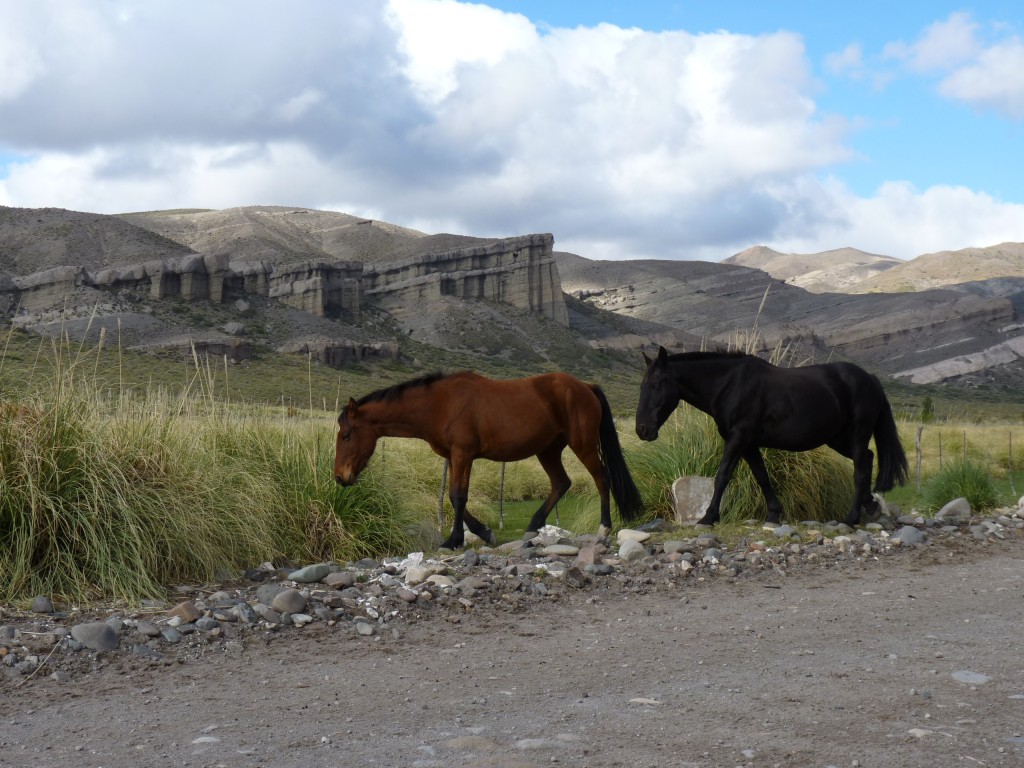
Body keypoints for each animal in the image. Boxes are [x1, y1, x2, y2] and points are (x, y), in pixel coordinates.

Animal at [333, 370, 638, 548]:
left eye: (346, 435)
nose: (340, 477)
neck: (438, 404)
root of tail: (585, 386)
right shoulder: (454, 456)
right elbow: (454, 497)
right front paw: (484, 532)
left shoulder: (463, 454)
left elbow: (458, 496)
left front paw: (453, 540)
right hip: (547, 450)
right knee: (561, 483)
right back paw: (532, 527)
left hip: (582, 445)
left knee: (601, 479)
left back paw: (604, 529)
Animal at [634, 348, 909, 528]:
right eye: (642, 385)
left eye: (656, 384)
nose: (642, 429)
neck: (731, 385)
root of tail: (870, 379)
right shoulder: (749, 445)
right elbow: (762, 477)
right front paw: (774, 515)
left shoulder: (738, 439)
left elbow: (722, 477)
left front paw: (708, 517)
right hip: (837, 439)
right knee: (868, 459)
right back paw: (870, 506)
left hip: (856, 436)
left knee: (860, 469)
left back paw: (851, 518)